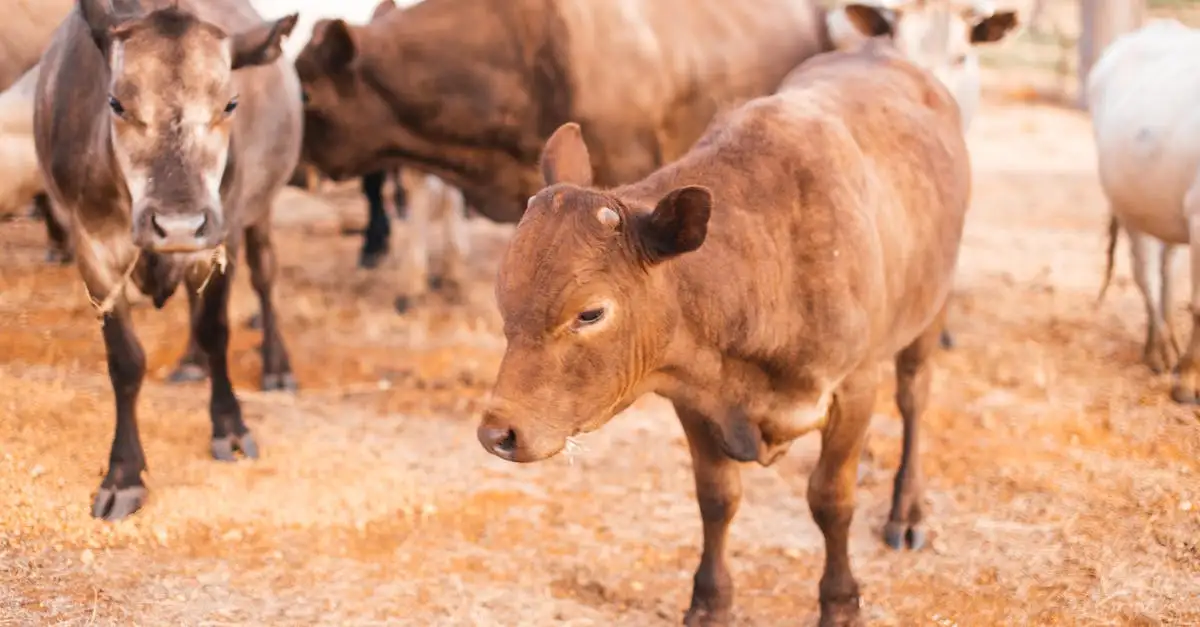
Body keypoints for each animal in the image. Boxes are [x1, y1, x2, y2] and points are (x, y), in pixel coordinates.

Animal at [34, 0, 303, 521]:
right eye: (116, 103)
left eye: (230, 104)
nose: (179, 225)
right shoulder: (91, 245)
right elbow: (124, 360)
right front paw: (123, 474)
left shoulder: (221, 235)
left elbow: (218, 331)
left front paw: (229, 426)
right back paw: (191, 361)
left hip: (258, 212)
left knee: (265, 278)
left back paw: (276, 366)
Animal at [475, 39, 971, 626]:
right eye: (504, 295)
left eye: (590, 313)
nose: (498, 433)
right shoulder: (691, 395)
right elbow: (716, 497)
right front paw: (710, 601)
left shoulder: (855, 387)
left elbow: (832, 500)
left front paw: (840, 602)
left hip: (930, 308)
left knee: (915, 398)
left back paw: (907, 510)